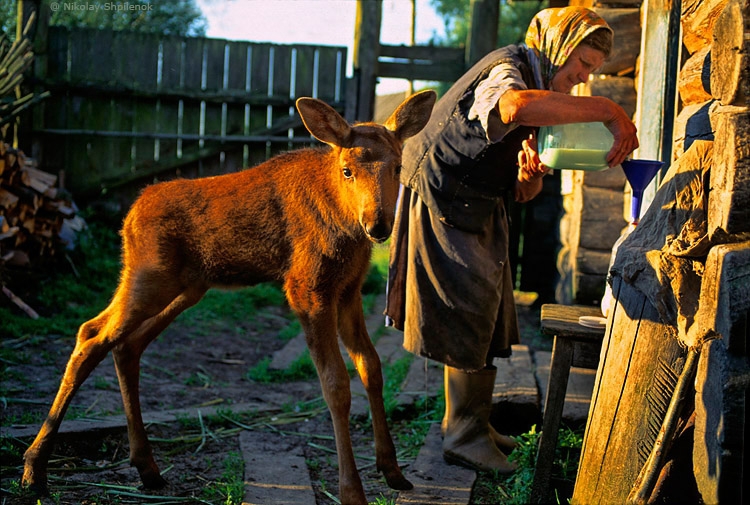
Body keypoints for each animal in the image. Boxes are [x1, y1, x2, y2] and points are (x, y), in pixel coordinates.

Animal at [23, 89, 438, 504]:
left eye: (398, 167)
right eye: (348, 169)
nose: (378, 224)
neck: (345, 228)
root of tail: (129, 215)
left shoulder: (348, 291)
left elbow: (371, 367)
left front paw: (392, 469)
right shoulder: (306, 288)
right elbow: (335, 384)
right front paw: (351, 491)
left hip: (186, 287)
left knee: (126, 345)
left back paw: (146, 466)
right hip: (147, 276)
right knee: (91, 335)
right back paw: (34, 467)